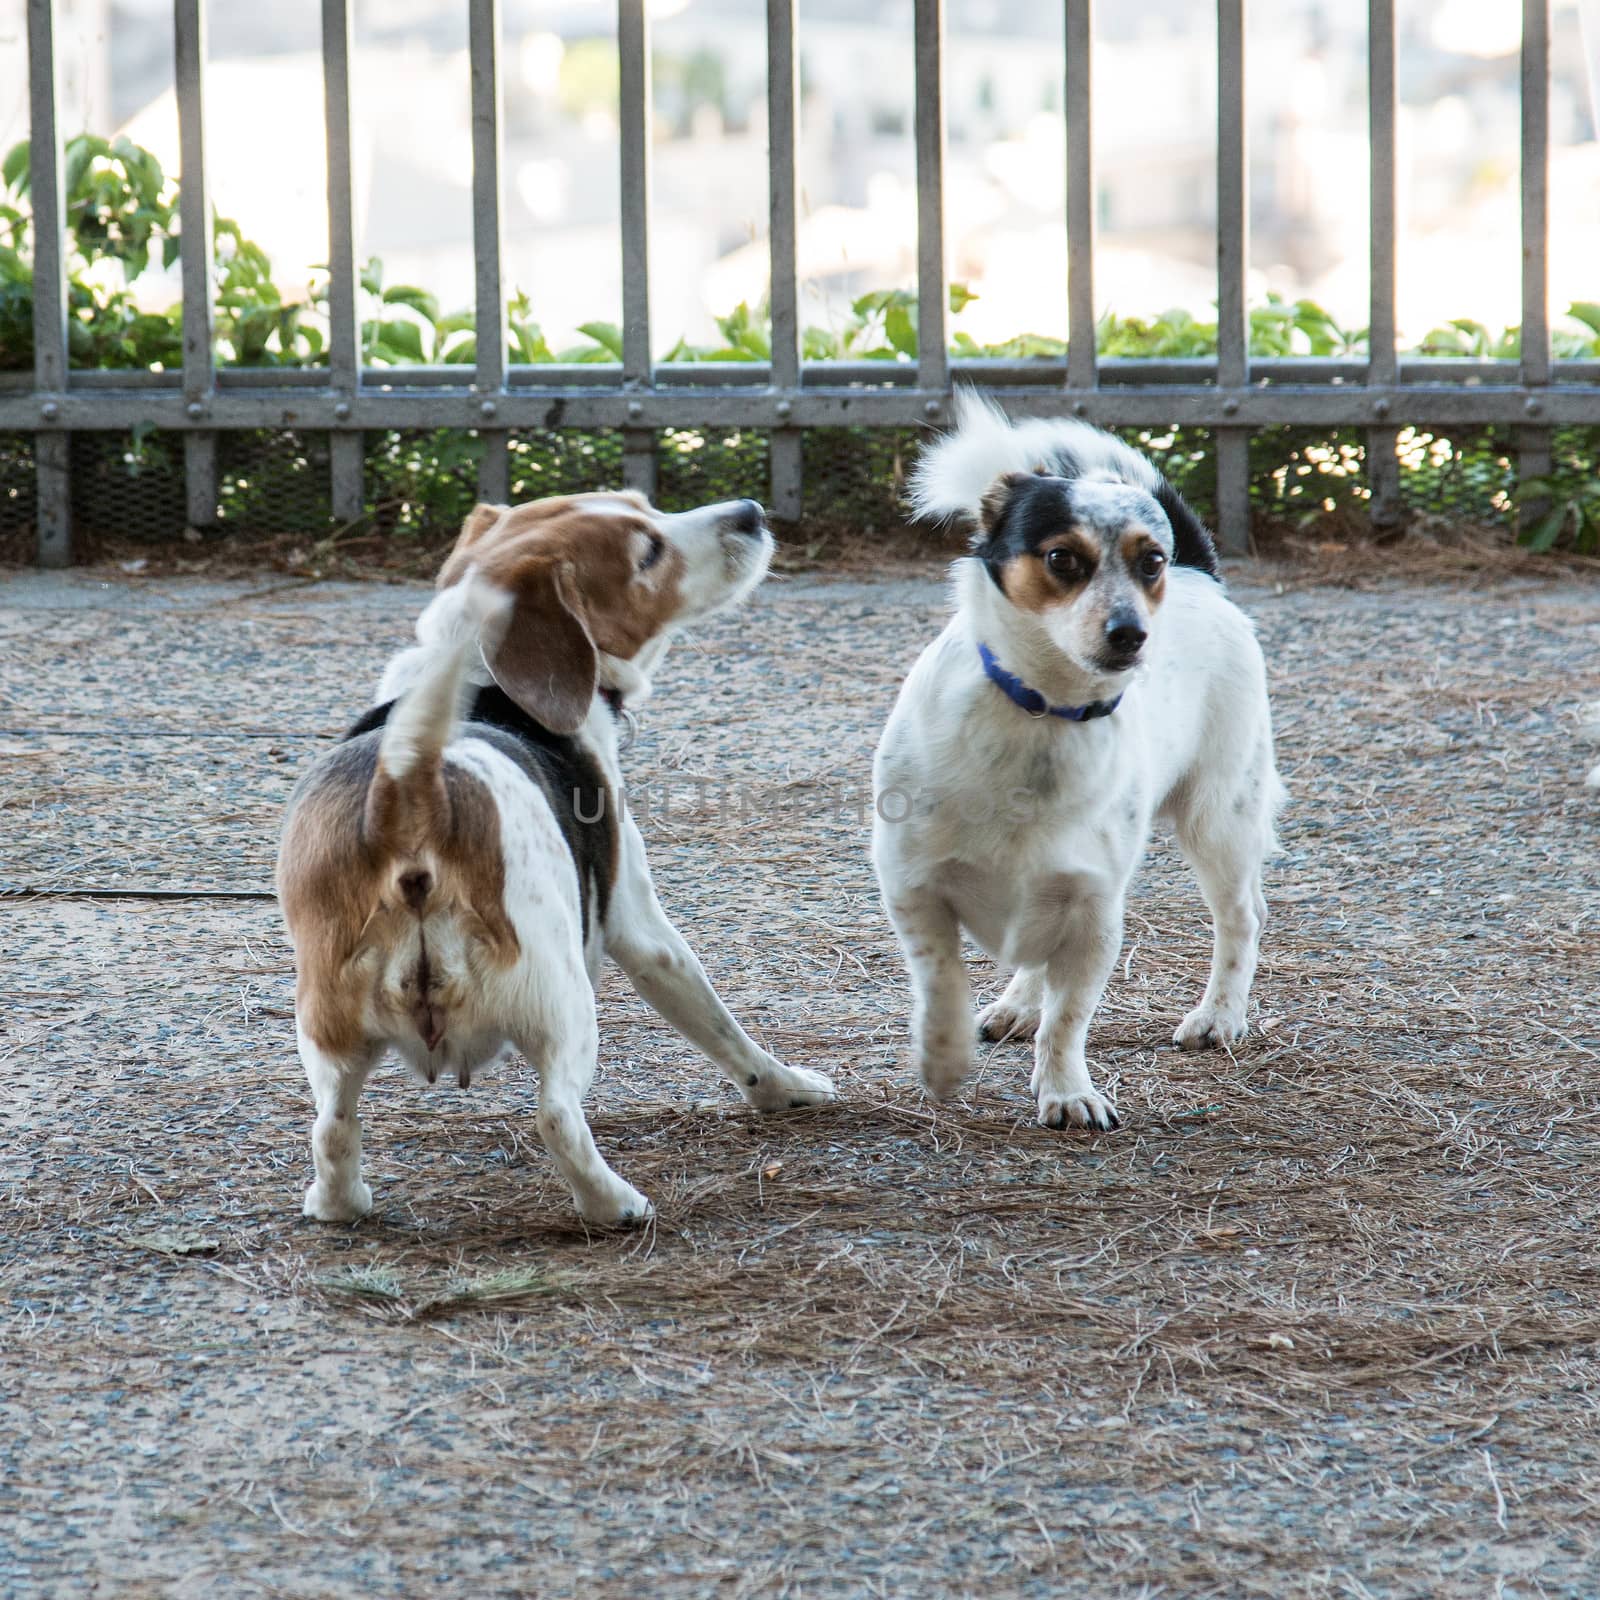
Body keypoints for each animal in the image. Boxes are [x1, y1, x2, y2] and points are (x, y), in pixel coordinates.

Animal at [280, 489, 838, 1222]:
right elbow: (720, 1024)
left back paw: (338, 1203)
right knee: (557, 1118)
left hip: (330, 1032)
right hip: (563, 1005)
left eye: (642, 504)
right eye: (647, 551)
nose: (750, 511)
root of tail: (410, 796)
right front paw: (782, 1087)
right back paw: (615, 1204)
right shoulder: (639, 927)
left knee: (332, 1125)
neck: (484, 677)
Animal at [870, 393, 1280, 1132]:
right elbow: (942, 980)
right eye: (1063, 558)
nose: (1131, 634)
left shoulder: (1094, 913)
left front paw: (1065, 1091)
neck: (1043, 714)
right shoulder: (913, 887)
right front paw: (943, 1058)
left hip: (1219, 822)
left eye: (1149, 562)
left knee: (1242, 918)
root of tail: (1200, 576)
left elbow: (1068, 1019)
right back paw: (1014, 1003)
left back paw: (1218, 1016)